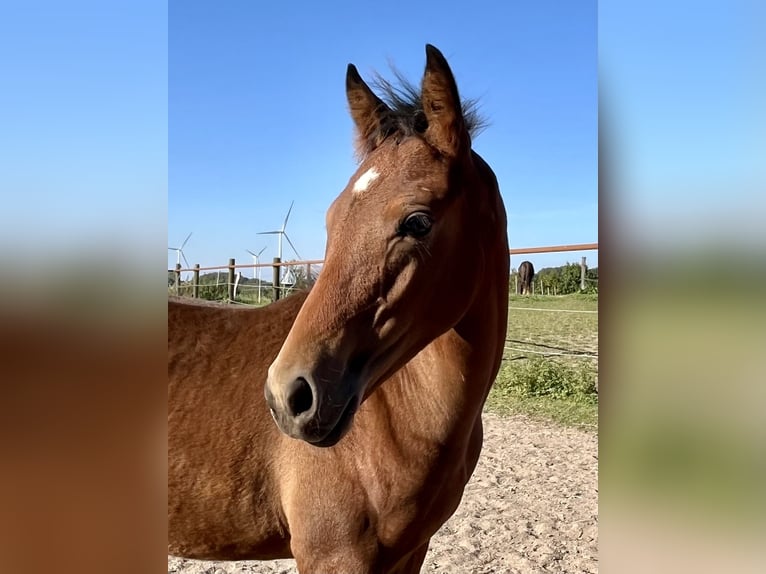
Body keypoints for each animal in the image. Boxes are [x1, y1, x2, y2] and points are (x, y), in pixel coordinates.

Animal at [168, 46, 510, 574]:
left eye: (417, 221)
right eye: (332, 219)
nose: (288, 396)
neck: (404, 414)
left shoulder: (411, 552)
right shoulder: (335, 556)